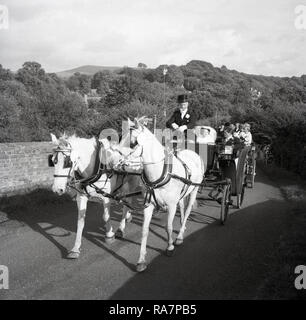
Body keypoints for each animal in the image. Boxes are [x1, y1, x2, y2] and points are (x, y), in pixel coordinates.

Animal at [123, 117, 204, 272]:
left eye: (133, 143)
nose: (120, 164)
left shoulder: (171, 206)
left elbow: (168, 226)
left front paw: (170, 247)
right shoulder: (148, 205)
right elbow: (144, 230)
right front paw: (141, 260)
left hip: (194, 191)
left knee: (188, 210)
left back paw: (180, 236)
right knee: (182, 207)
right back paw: (182, 227)